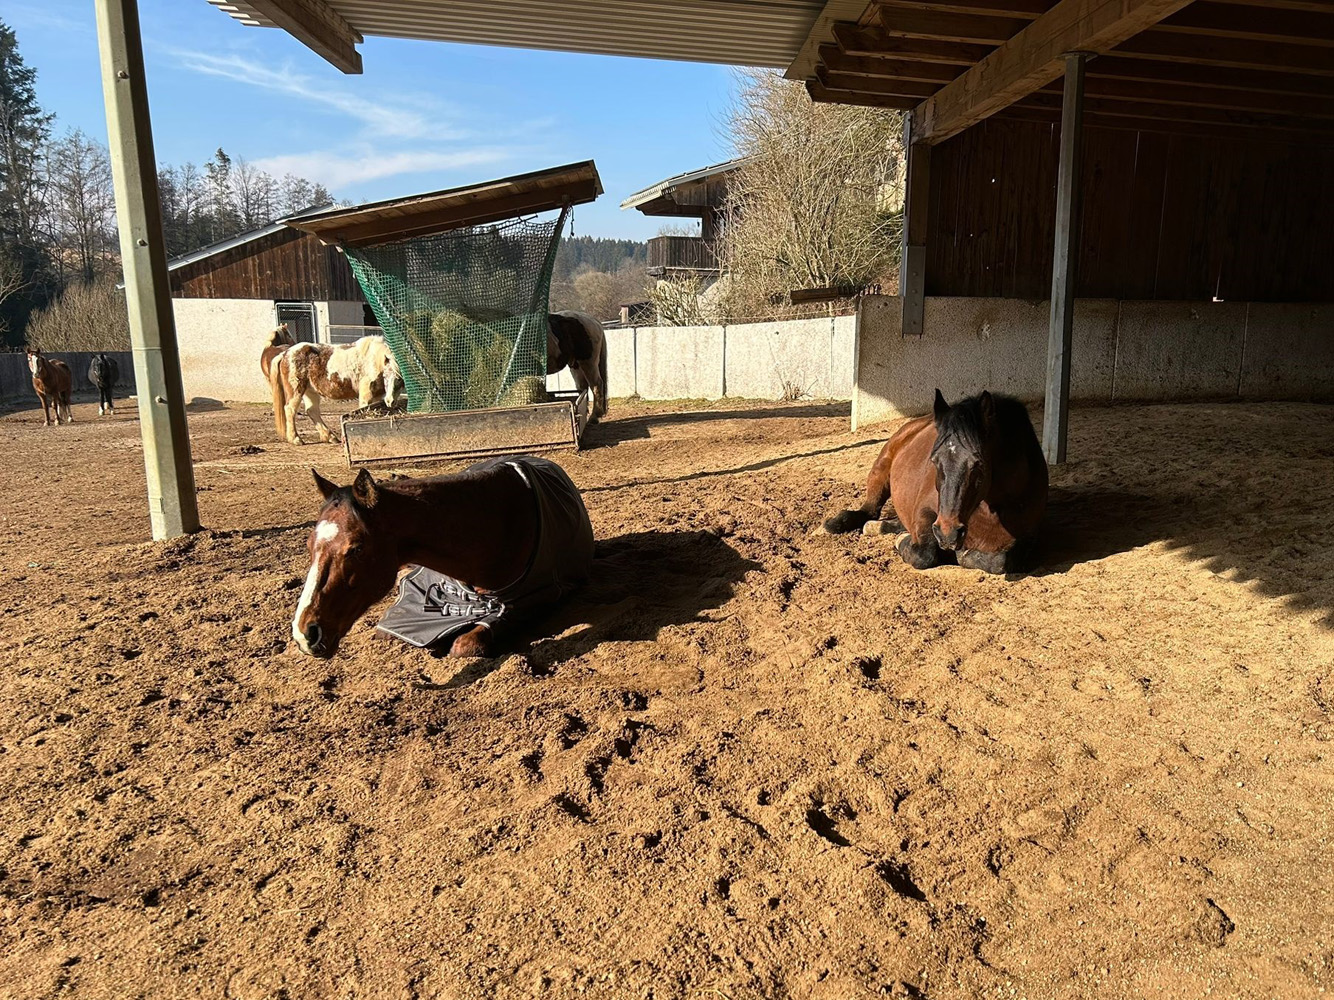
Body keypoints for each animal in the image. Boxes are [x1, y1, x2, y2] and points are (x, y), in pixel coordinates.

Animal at [270, 335, 402, 445]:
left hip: (310, 391)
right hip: (296, 390)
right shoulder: (366, 394)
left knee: (312, 411)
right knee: (290, 409)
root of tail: (285, 354)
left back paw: (330, 437)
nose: (390, 401)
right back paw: (296, 439)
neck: (373, 359)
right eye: (385, 376)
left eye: (400, 379)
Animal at [824, 389, 1048, 574]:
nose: (948, 534)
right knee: (870, 510)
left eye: (978, 463)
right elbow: (924, 555)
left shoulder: (1028, 538)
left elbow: (1000, 562)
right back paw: (838, 523)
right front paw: (903, 541)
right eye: (934, 460)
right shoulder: (928, 513)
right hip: (881, 469)